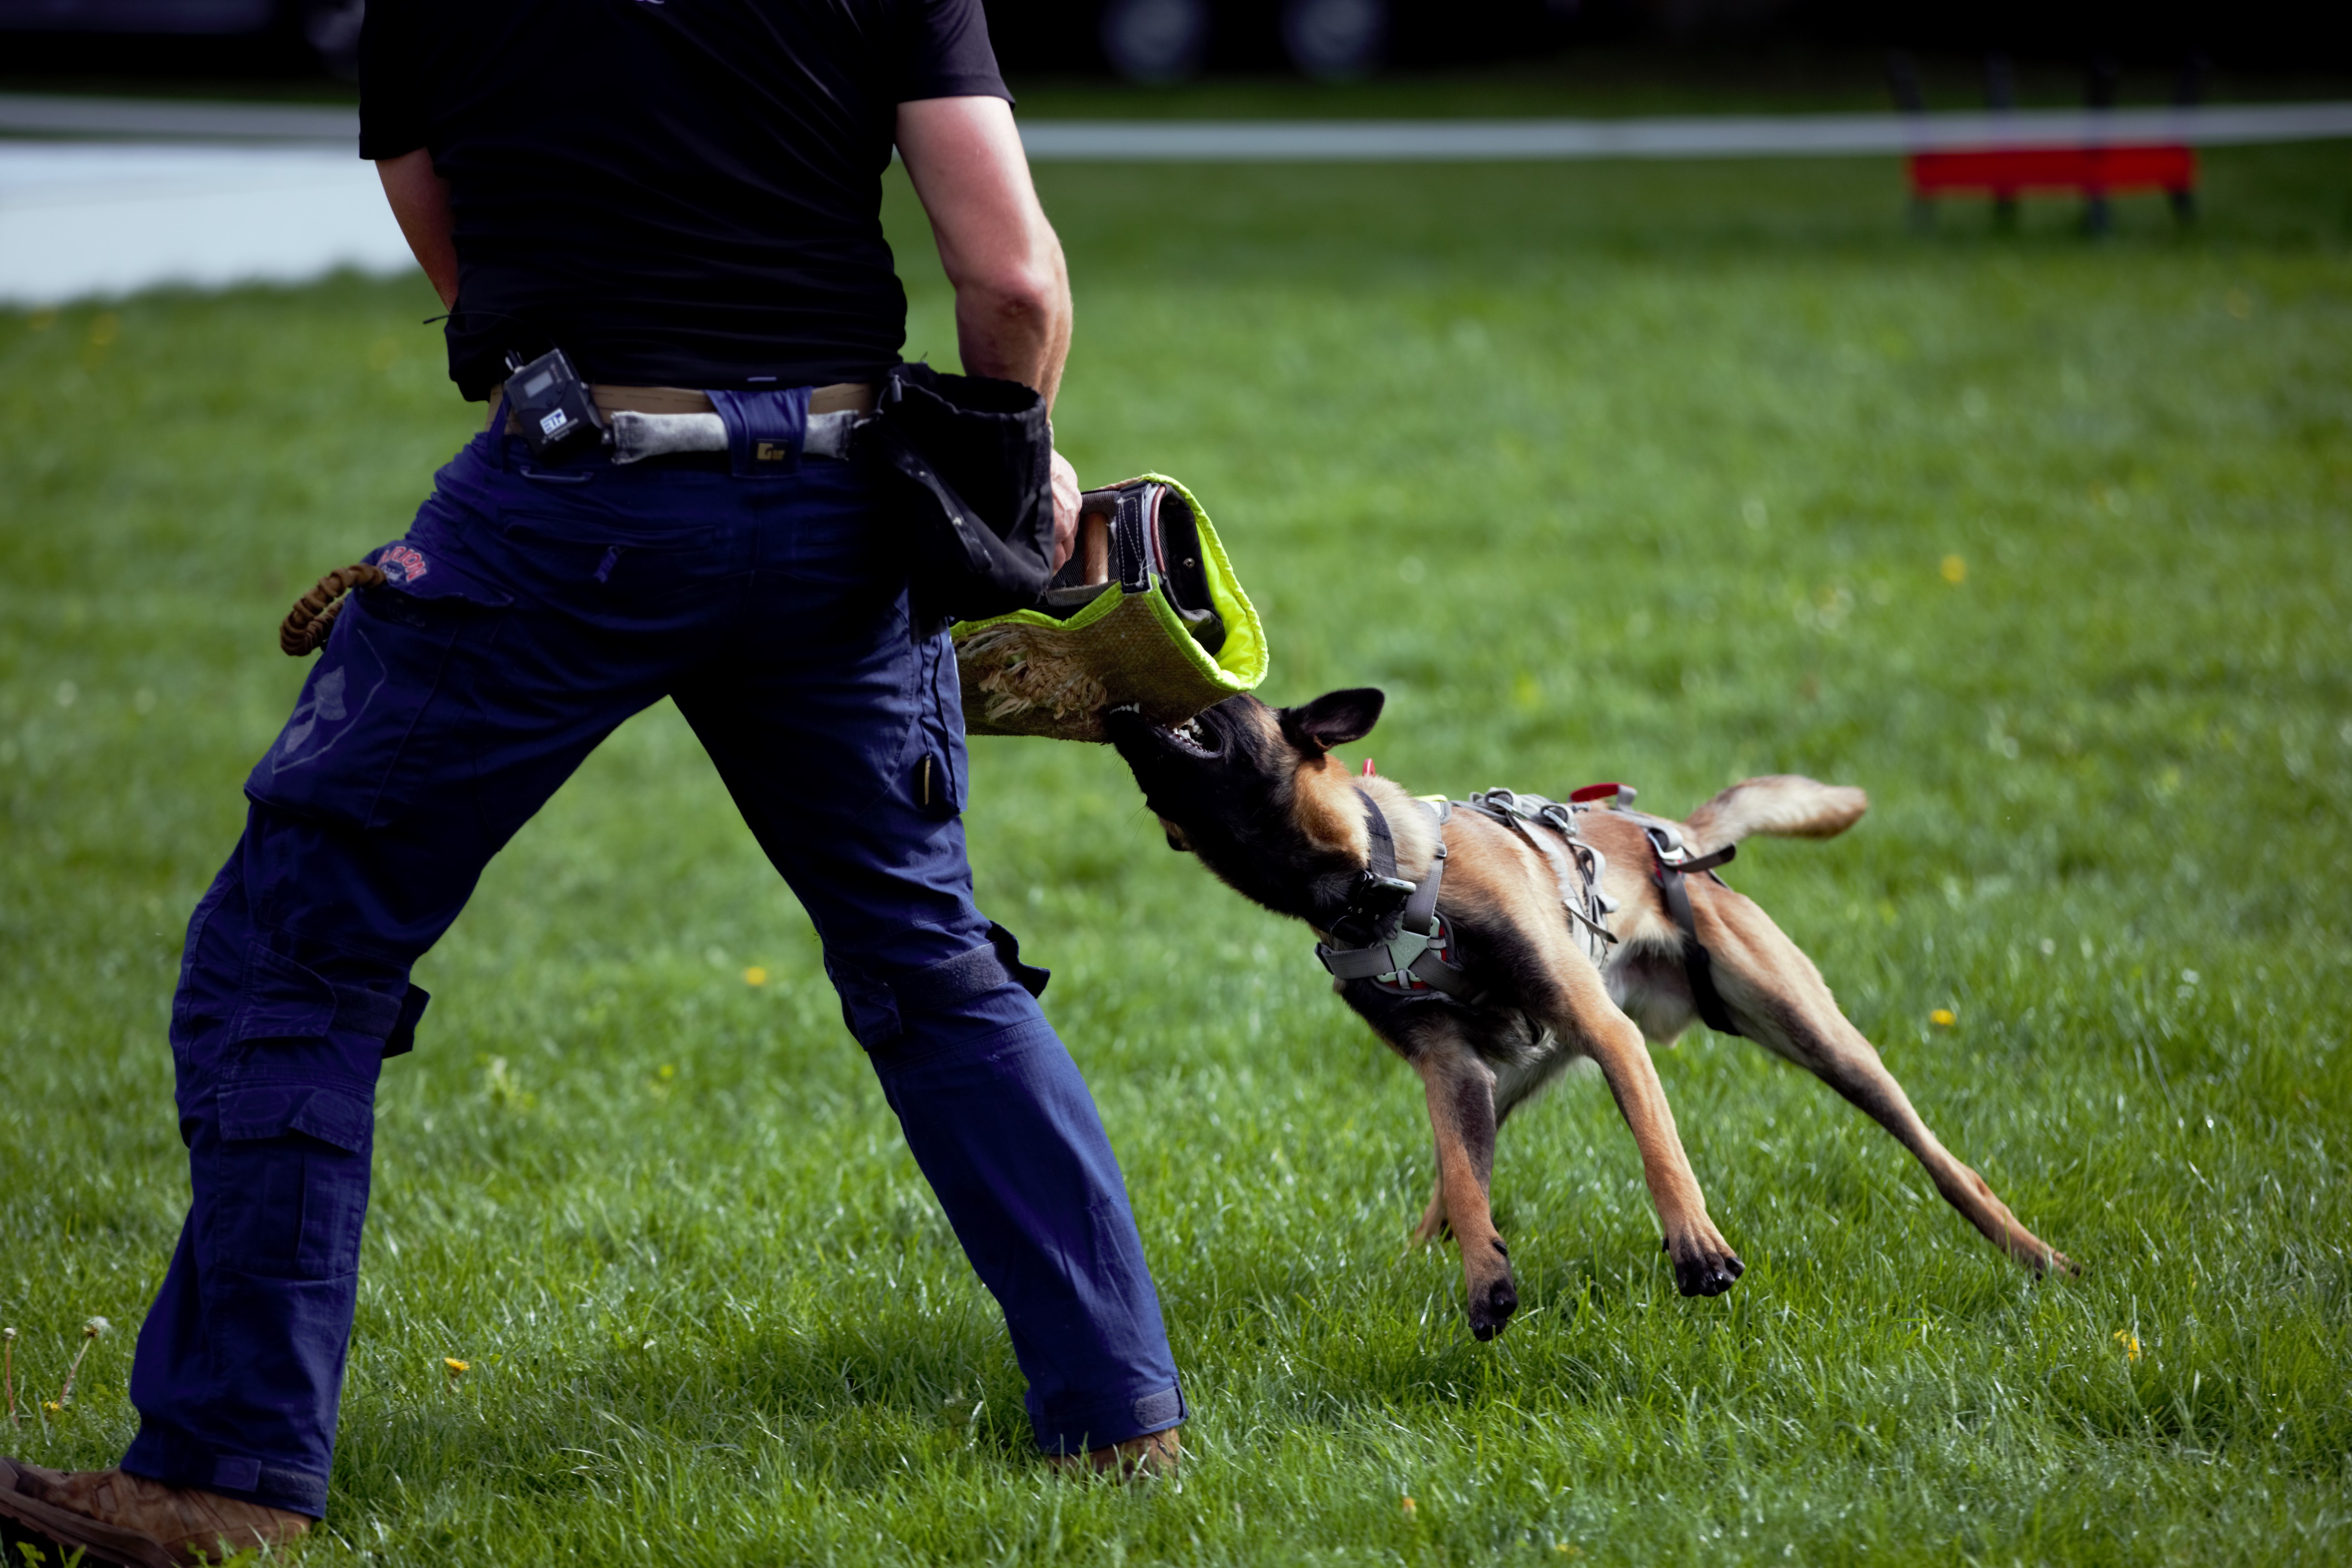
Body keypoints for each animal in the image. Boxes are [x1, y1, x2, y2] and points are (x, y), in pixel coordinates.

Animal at [1107, 688, 2072, 1340]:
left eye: (1221, 702)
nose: (1120, 697)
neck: (1371, 888)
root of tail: (1674, 840)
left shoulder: (1608, 1035)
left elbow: (1659, 1152)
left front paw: (1696, 1250)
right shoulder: (1448, 1069)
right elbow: (1464, 1182)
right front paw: (1486, 1283)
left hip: (1817, 1037)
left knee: (1945, 1163)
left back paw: (2033, 1255)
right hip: (1508, 1082)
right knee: (1446, 1191)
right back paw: (1411, 1268)